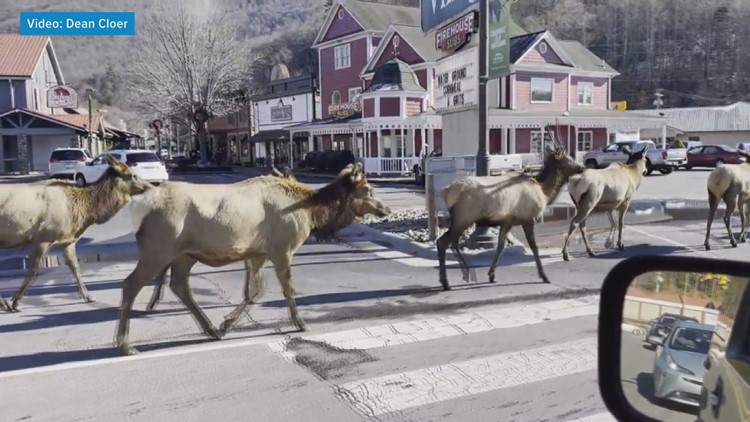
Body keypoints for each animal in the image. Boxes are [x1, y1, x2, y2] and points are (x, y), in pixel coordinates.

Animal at [0, 155, 151, 312]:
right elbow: (34, 270)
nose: (150, 186)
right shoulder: (43, 237)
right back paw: (5, 303)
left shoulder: (68, 240)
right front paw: (16, 301)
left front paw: (88, 296)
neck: (83, 211)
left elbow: (75, 267)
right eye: (132, 175)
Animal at [436, 125, 585, 291]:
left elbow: (500, 247)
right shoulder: (528, 218)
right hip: (464, 216)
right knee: (443, 241)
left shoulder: (507, 222)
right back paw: (448, 281)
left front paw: (492, 275)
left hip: (461, 218)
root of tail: (446, 192)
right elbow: (534, 247)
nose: (582, 166)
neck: (544, 192)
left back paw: (459, 275)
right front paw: (544, 276)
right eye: (569, 159)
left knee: (450, 241)